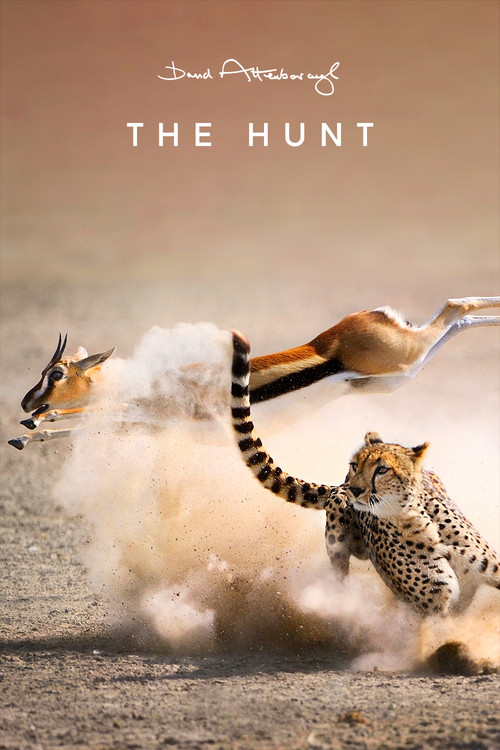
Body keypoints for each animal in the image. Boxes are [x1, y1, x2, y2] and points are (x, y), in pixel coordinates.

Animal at [8, 296, 500, 450]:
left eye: (56, 374)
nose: (27, 403)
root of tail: (368, 316)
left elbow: (83, 416)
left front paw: (33, 426)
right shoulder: (146, 426)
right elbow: (85, 421)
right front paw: (26, 433)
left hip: (400, 361)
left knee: (455, 306)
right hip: (395, 377)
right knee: (454, 321)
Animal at [231, 329, 500, 616]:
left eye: (382, 469)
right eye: (355, 465)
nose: (356, 490)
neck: (414, 521)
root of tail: (339, 486)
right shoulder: (431, 609)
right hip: (338, 544)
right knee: (339, 576)